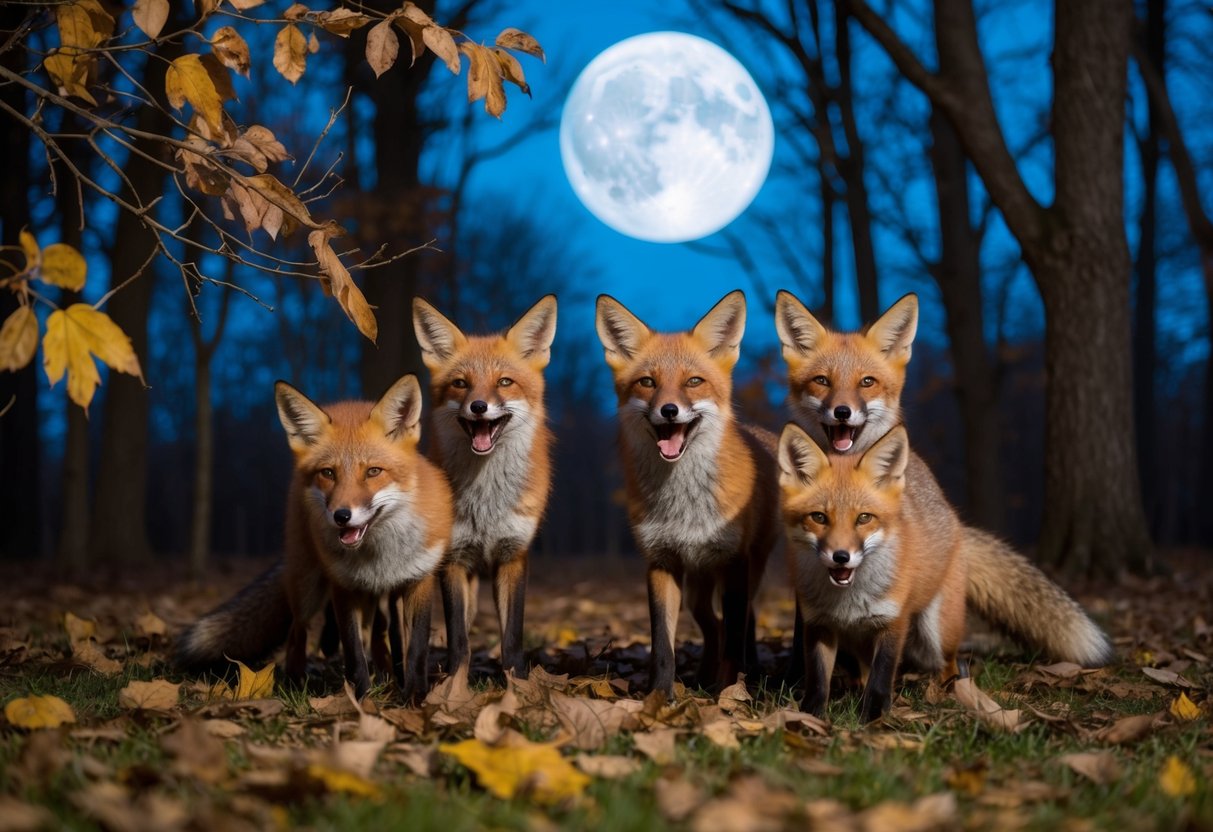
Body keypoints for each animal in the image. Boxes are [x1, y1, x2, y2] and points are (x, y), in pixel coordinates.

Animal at [175, 374, 453, 703]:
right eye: (328, 473)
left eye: (373, 471)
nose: (341, 516)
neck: (381, 555)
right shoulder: (343, 586)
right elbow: (354, 654)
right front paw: (359, 699)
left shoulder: (418, 581)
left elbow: (416, 648)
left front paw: (414, 695)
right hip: (307, 586)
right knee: (298, 631)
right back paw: (295, 683)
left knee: (381, 633)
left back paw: (386, 674)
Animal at [411, 295, 556, 685]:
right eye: (461, 384)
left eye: (504, 382)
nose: (479, 406)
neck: (486, 502)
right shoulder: (454, 560)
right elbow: (459, 641)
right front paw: (453, 686)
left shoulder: (513, 555)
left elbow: (512, 639)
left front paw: (517, 685)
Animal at [595, 290, 779, 696]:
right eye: (647, 382)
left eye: (694, 381)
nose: (669, 410)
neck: (685, 503)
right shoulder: (661, 562)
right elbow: (662, 645)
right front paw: (660, 696)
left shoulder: (735, 561)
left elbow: (734, 638)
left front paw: (728, 694)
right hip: (697, 587)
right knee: (714, 625)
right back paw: (703, 678)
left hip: (748, 570)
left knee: (743, 622)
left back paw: (746, 675)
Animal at [773, 290, 1114, 686]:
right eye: (822, 381)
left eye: (867, 382)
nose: (842, 411)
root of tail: (957, 525)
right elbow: (805, 633)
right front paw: (797, 680)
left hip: (936, 627)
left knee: (947, 662)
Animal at [778, 422, 967, 721]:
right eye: (819, 517)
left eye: (864, 518)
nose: (841, 557)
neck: (849, 599)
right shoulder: (818, 623)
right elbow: (818, 680)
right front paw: (812, 716)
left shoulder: (893, 621)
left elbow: (882, 677)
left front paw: (873, 718)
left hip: (937, 633)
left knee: (950, 665)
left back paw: (946, 694)